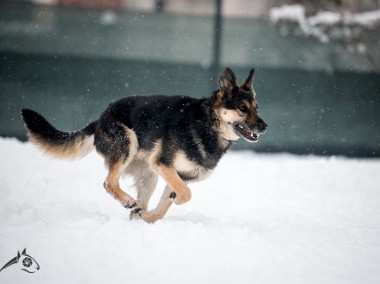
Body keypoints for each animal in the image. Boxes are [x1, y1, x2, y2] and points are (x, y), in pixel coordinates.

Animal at [20, 67, 268, 223]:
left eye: (257, 108)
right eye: (243, 108)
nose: (264, 126)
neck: (208, 125)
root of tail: (100, 118)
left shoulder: (175, 175)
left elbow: (165, 205)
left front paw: (148, 218)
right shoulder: (164, 165)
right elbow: (185, 194)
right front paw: (170, 204)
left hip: (149, 175)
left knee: (136, 197)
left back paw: (137, 213)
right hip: (128, 144)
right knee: (109, 182)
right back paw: (127, 201)